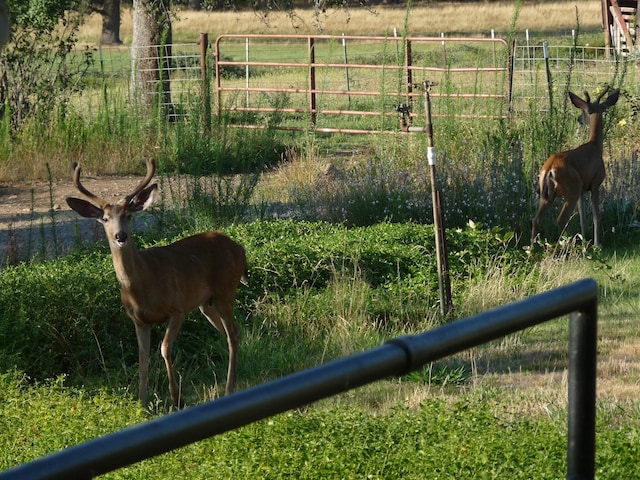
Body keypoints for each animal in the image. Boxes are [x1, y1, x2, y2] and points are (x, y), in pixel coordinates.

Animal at [65, 158, 245, 408]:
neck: (142, 285)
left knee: (234, 333)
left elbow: (164, 349)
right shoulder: (139, 320)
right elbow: (143, 363)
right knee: (228, 333)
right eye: (105, 219)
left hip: (225, 291)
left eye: (129, 216)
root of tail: (240, 249)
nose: (120, 236)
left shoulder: (177, 309)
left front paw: (176, 398)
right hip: (206, 303)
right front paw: (141, 404)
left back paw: (229, 388)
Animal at [528, 85, 620, 248]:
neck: (595, 146)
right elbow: (596, 216)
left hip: (548, 194)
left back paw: (532, 249)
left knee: (536, 219)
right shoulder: (595, 183)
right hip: (572, 188)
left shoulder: (583, 189)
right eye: (583, 110)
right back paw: (569, 245)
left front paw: (585, 241)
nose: (579, 119)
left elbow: (583, 218)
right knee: (561, 219)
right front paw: (596, 245)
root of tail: (549, 169)